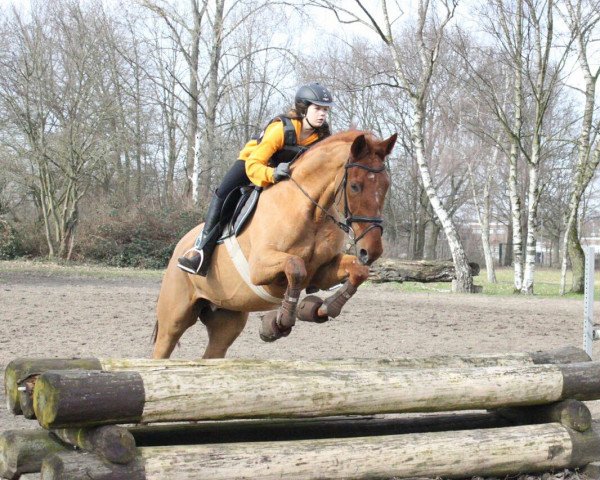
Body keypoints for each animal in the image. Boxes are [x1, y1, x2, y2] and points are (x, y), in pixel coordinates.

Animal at [152, 129, 396, 358]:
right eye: (355, 186)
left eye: (386, 186)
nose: (372, 250)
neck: (312, 213)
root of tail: (179, 247)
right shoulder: (260, 267)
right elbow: (295, 266)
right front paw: (279, 322)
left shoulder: (321, 272)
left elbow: (358, 272)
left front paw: (322, 308)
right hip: (174, 318)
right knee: (162, 348)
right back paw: (194, 259)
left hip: (226, 318)